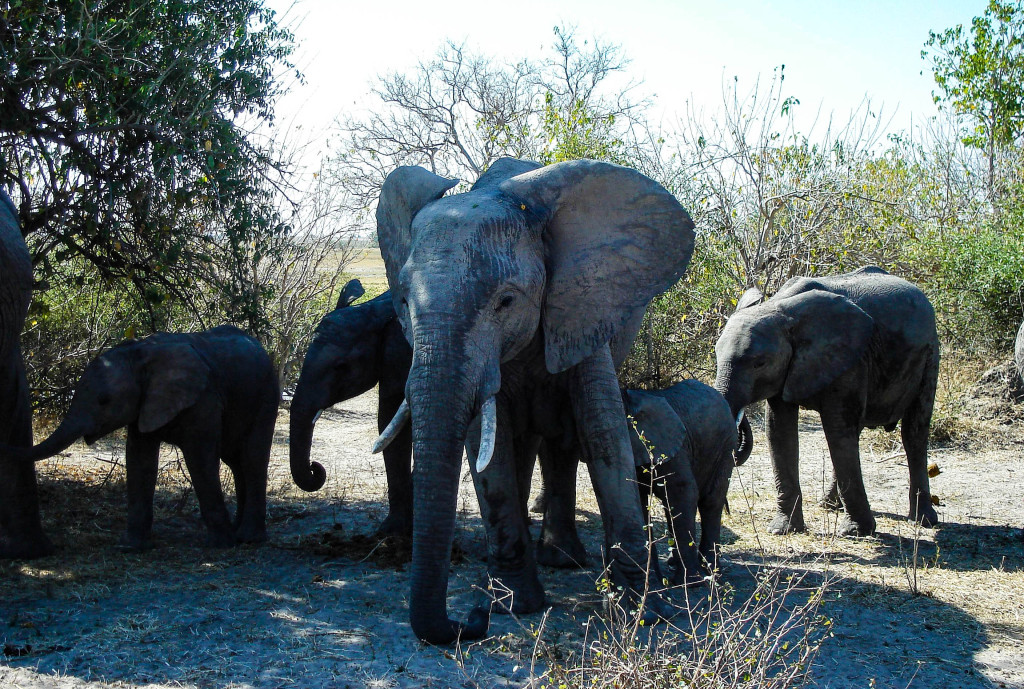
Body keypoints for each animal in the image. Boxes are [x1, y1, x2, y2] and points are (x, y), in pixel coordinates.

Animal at [0, 325, 278, 552]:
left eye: (104, 400)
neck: (141, 353)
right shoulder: (143, 402)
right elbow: (139, 459)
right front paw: (130, 547)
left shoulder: (204, 398)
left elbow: (199, 459)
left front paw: (220, 545)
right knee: (236, 461)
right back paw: (240, 532)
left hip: (266, 396)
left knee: (252, 458)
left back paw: (248, 538)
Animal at [618, 380, 749, 585]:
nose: (659, 579)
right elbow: (639, 500)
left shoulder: (672, 447)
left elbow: (683, 492)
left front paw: (688, 583)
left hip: (725, 446)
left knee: (711, 501)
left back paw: (711, 570)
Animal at [716, 266, 937, 536]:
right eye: (716, 355)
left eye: (759, 363)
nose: (725, 509)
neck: (779, 306)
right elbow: (779, 430)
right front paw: (783, 530)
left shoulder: (850, 358)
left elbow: (837, 429)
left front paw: (855, 532)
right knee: (857, 431)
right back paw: (829, 506)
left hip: (930, 354)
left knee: (914, 432)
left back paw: (923, 520)